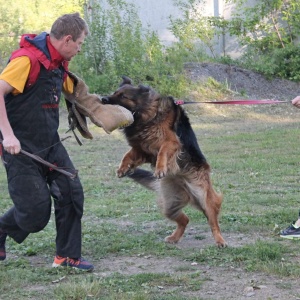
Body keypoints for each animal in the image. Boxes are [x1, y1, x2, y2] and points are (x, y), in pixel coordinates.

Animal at [102, 77, 226, 246]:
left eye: (123, 96)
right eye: (115, 93)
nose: (103, 99)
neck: (149, 115)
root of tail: (185, 187)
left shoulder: (171, 142)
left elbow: (162, 152)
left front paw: (160, 168)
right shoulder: (142, 148)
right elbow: (127, 155)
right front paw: (123, 168)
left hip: (203, 196)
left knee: (213, 222)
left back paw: (220, 240)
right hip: (170, 205)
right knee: (185, 220)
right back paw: (174, 237)